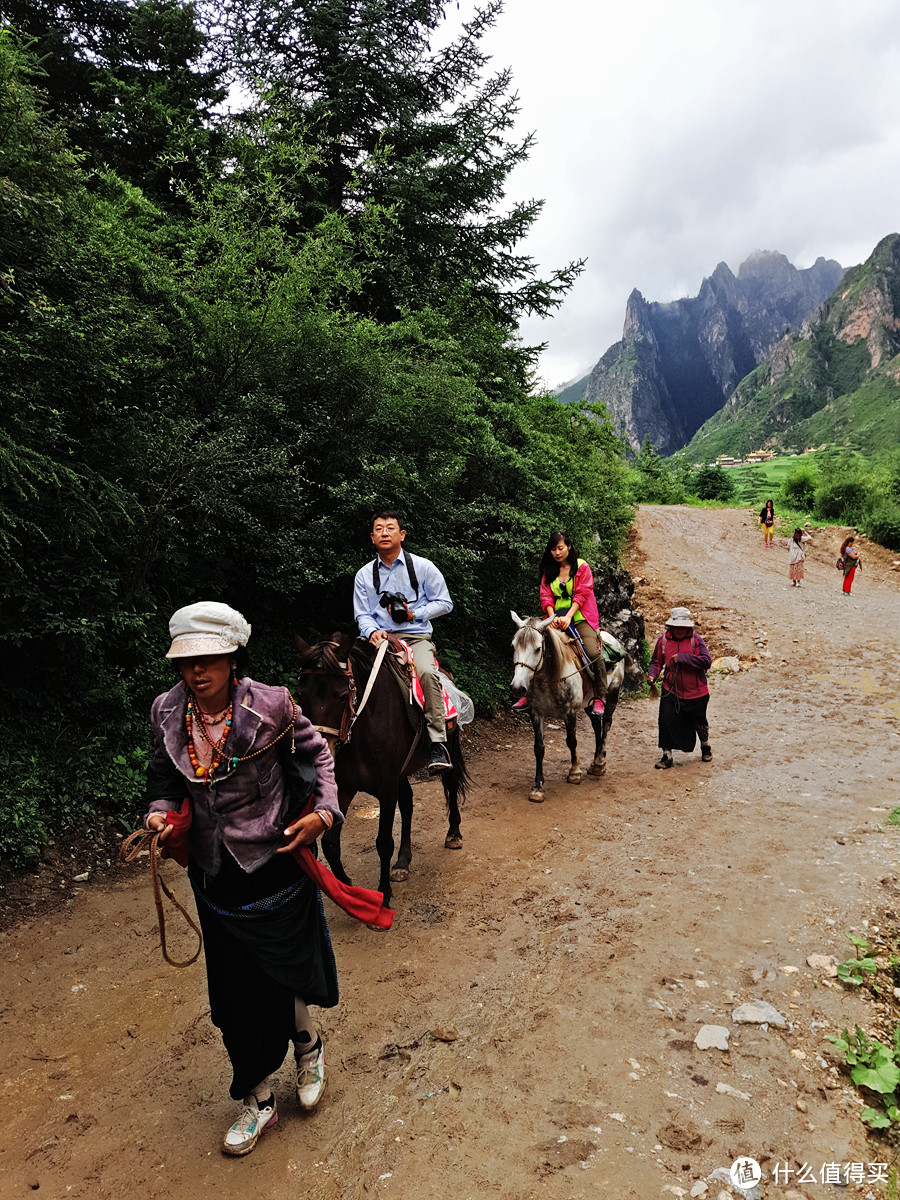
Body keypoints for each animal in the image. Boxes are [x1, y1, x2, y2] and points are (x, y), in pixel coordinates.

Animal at [296, 633, 472, 912]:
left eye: (341, 695)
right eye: (300, 695)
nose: (322, 749)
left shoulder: (386, 788)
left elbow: (383, 842)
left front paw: (383, 896)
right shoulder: (346, 787)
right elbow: (330, 843)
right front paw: (347, 885)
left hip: (450, 749)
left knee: (451, 786)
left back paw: (453, 834)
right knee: (408, 803)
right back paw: (402, 862)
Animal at [511, 614, 628, 801]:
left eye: (537, 649)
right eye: (513, 646)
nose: (517, 688)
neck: (549, 679)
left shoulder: (570, 712)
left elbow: (572, 741)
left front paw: (574, 772)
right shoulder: (536, 713)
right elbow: (539, 748)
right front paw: (538, 787)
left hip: (613, 694)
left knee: (606, 724)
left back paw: (600, 763)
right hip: (588, 703)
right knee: (597, 725)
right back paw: (595, 762)